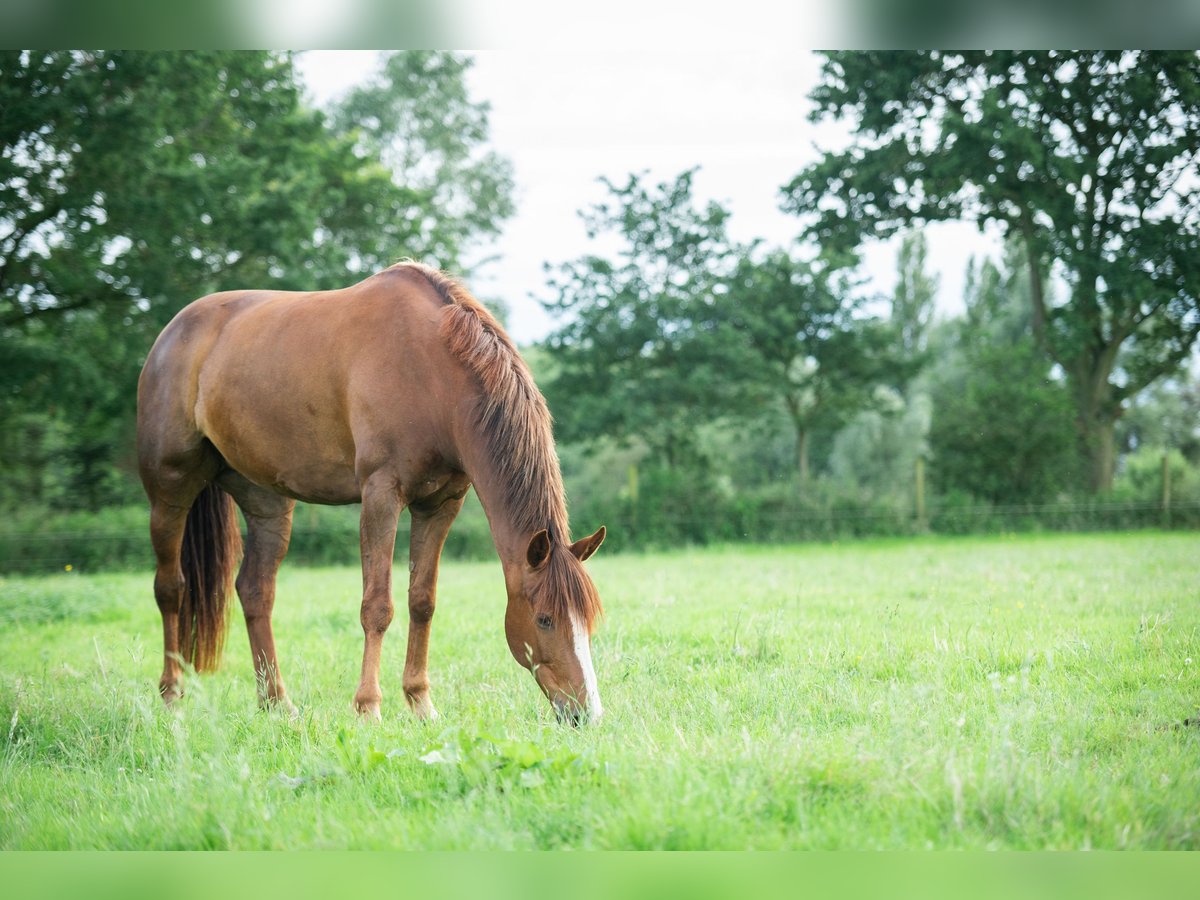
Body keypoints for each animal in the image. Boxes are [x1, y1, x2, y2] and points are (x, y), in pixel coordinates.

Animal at [136, 260, 604, 724]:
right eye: (544, 619)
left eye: (588, 619)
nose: (586, 713)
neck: (430, 372)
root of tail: (172, 333)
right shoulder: (381, 495)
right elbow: (377, 607)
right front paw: (368, 707)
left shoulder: (440, 504)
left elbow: (422, 602)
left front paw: (421, 703)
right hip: (170, 491)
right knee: (170, 588)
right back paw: (171, 695)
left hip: (266, 502)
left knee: (255, 591)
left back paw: (276, 702)